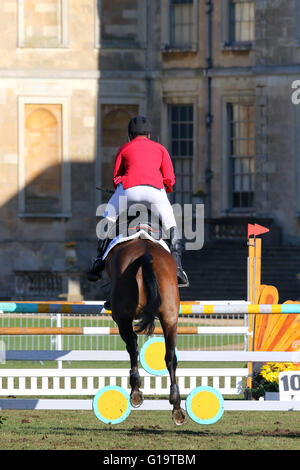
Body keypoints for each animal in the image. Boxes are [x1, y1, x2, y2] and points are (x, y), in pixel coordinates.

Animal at [104, 239, 186, 426]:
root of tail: (145, 254)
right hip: (170, 317)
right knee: (170, 357)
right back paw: (176, 405)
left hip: (123, 318)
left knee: (132, 346)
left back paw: (135, 390)